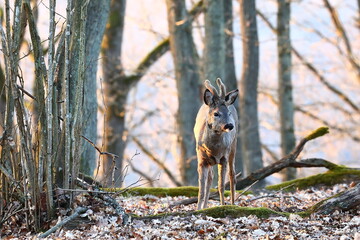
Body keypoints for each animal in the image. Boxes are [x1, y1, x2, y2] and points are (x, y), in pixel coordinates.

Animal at [193, 79, 238, 210]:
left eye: (228, 113)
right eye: (216, 114)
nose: (230, 125)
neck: (213, 149)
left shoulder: (223, 158)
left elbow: (221, 186)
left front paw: (223, 205)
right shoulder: (201, 159)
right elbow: (201, 189)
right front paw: (198, 209)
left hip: (233, 146)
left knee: (232, 175)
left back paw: (233, 203)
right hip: (209, 161)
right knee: (210, 178)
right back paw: (205, 207)